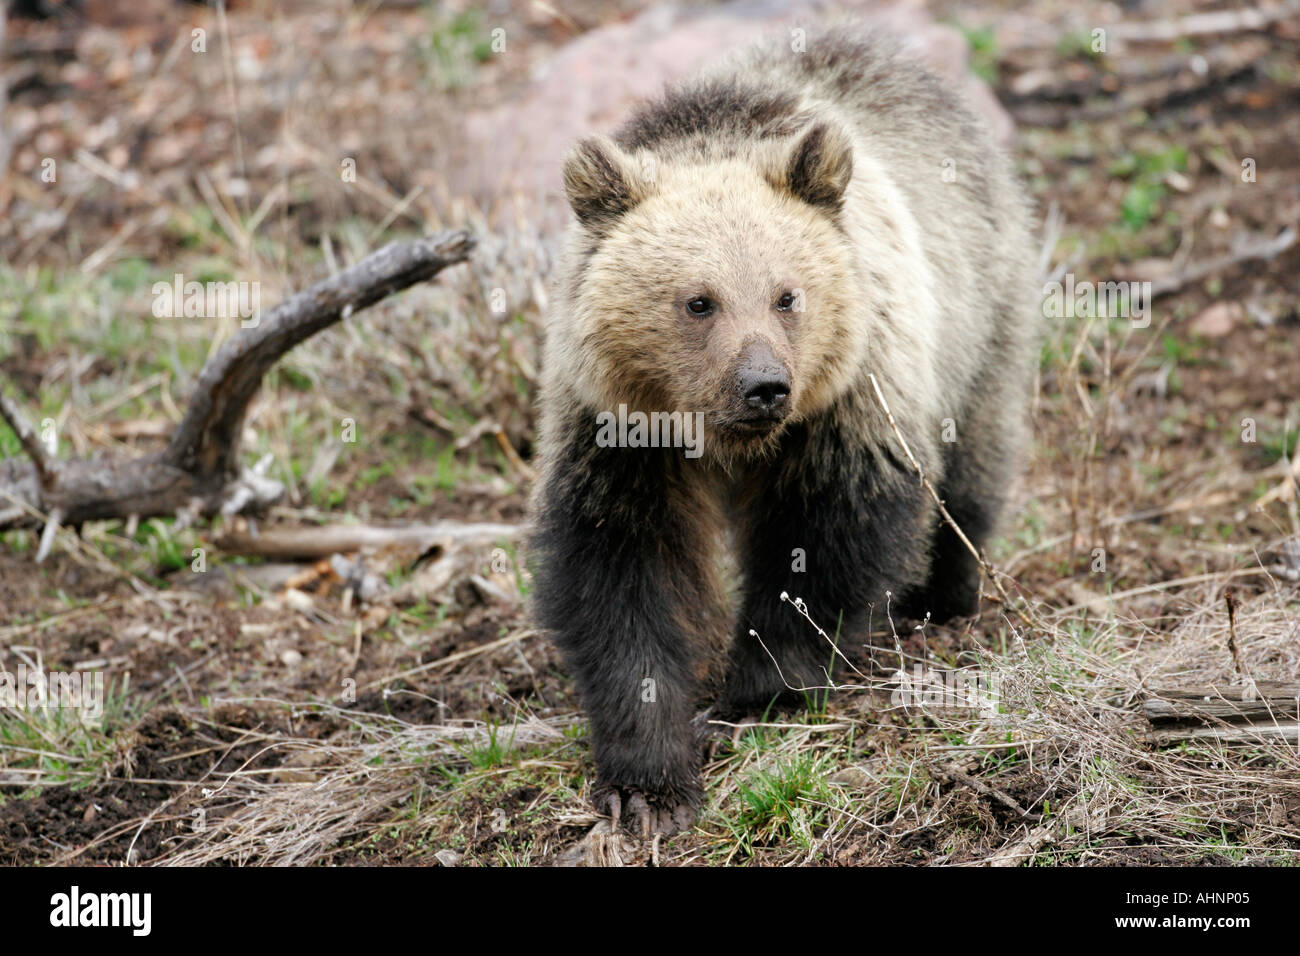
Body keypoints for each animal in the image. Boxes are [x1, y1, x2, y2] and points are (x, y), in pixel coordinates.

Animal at [529, 30, 1037, 837]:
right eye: (698, 301)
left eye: (785, 294)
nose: (764, 385)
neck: (720, 434)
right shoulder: (619, 430)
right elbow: (623, 572)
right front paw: (646, 781)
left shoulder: (849, 399)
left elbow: (826, 535)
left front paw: (762, 692)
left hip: (981, 307)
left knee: (974, 458)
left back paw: (943, 592)